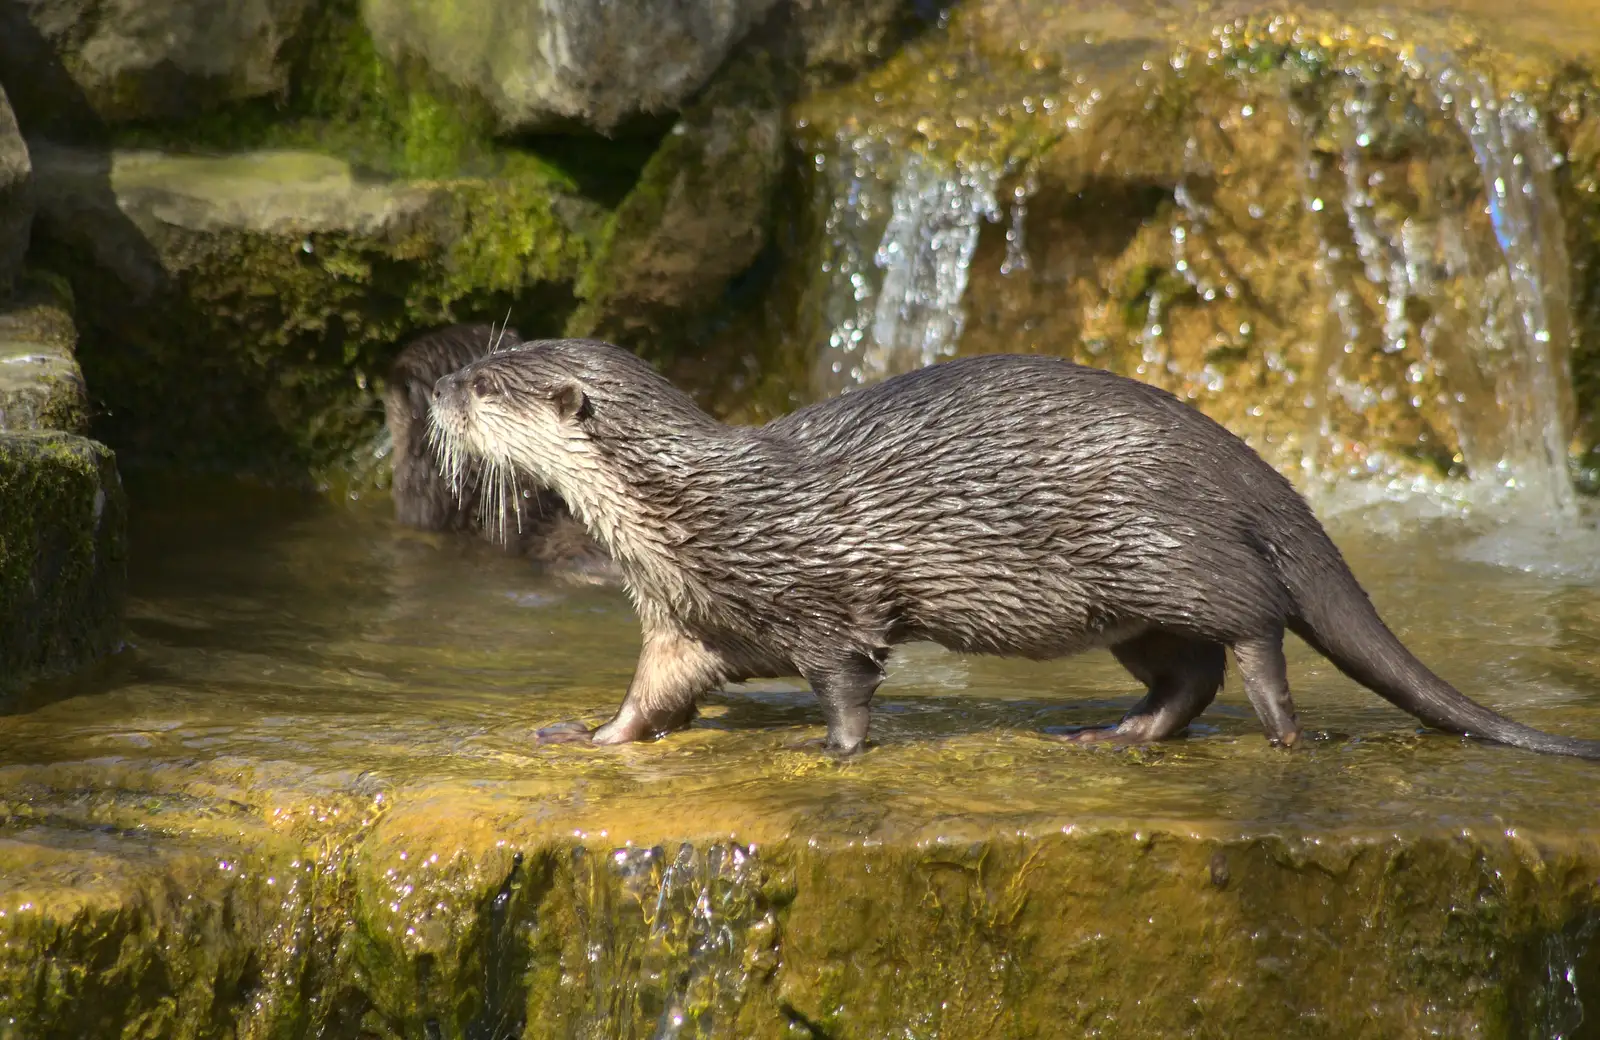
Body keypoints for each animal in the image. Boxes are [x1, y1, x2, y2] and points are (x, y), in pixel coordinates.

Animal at [425, 336, 1600, 758]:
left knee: (1254, 628)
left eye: (483, 385)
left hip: (1161, 543)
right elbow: (651, 696)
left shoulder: (826, 596)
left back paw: (1279, 730)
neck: (689, 516)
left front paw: (838, 752)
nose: (431, 392)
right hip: (1130, 600)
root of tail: (1245, 465)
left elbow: (846, 678)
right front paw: (589, 735)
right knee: (1188, 671)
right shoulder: (683, 623)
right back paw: (1114, 732)